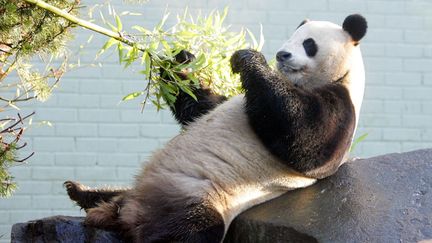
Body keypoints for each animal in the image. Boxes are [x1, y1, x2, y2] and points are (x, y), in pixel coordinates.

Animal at [65, 13, 368, 243]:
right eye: (290, 38)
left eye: (308, 43)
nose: (282, 54)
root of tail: (128, 210)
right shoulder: (231, 100)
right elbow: (202, 105)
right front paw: (179, 60)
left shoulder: (341, 108)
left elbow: (307, 143)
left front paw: (248, 58)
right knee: (121, 193)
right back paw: (84, 193)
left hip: (197, 195)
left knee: (187, 229)